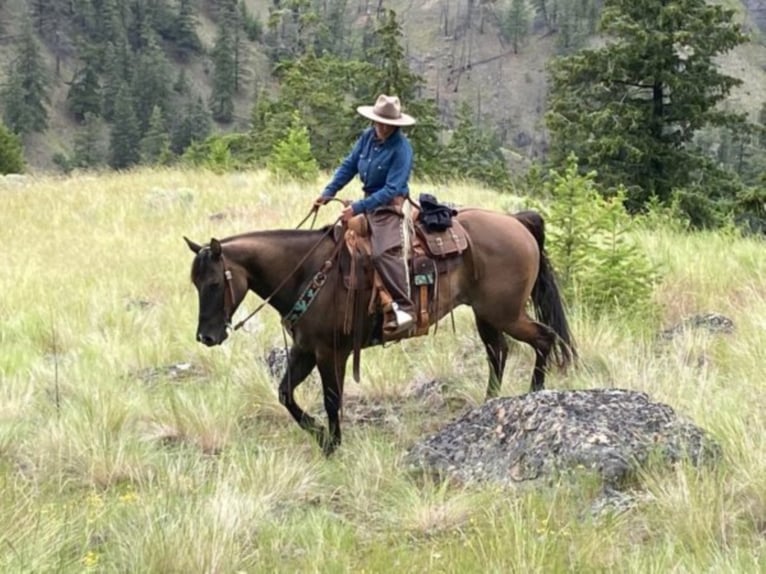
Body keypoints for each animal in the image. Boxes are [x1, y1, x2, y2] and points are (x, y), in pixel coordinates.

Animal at [186, 207, 576, 454]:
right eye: (195, 284)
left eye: (214, 284)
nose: (206, 337)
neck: (308, 272)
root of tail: (517, 222)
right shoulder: (304, 350)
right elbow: (286, 395)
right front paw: (320, 436)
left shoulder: (330, 352)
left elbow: (332, 399)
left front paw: (332, 445)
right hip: (487, 315)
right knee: (499, 353)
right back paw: (488, 403)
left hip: (505, 313)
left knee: (543, 338)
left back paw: (534, 393)